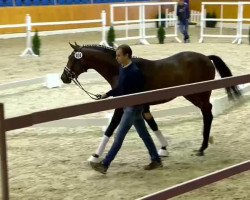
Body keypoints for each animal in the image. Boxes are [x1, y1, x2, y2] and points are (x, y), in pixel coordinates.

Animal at [60, 43, 240, 156]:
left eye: (73, 58)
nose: (64, 77)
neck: (121, 70)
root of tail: (206, 58)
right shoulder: (143, 106)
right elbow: (152, 124)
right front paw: (163, 148)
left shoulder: (121, 107)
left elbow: (110, 128)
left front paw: (95, 157)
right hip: (192, 96)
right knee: (207, 112)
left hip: (199, 94)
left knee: (207, 113)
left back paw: (202, 147)